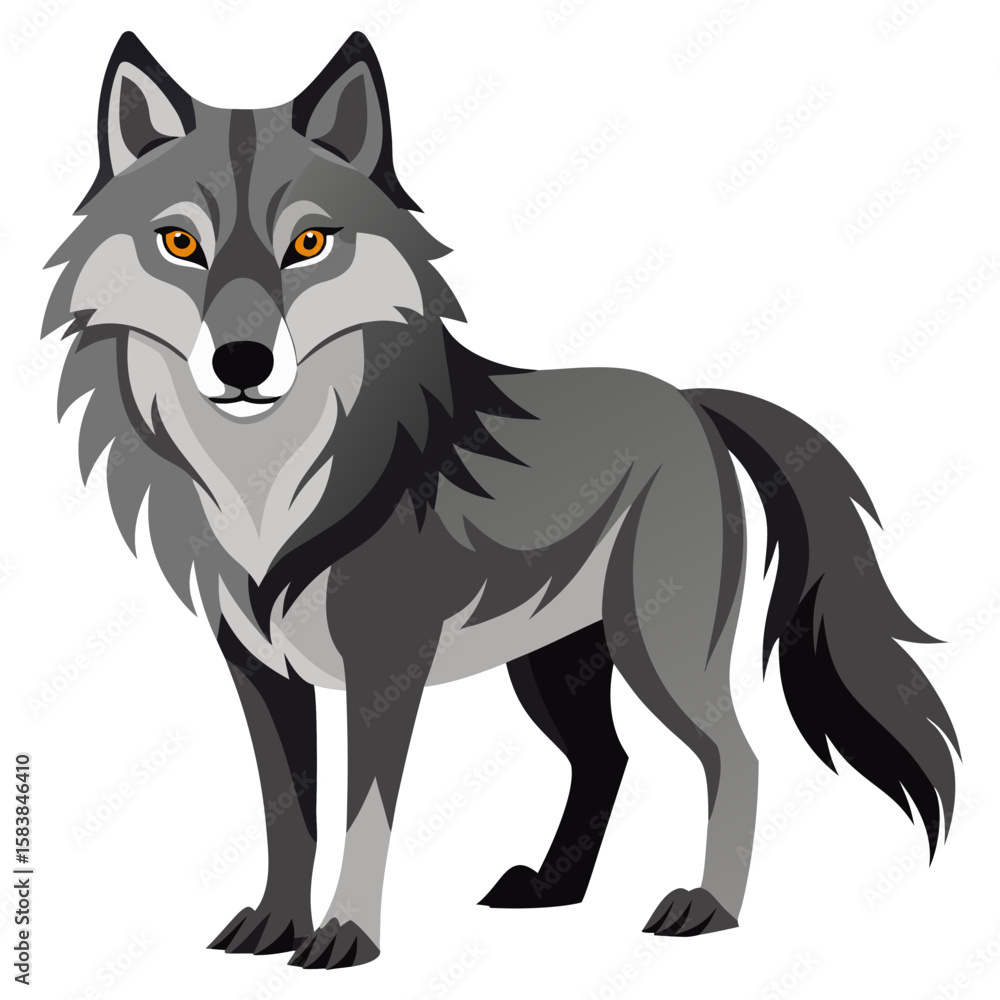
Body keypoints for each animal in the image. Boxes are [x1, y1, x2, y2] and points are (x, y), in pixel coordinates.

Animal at [43, 30, 959, 969]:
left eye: (309, 243)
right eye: (179, 244)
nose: (241, 363)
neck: (269, 483)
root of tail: (691, 399)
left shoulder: (385, 670)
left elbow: (364, 813)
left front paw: (345, 935)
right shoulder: (259, 672)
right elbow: (288, 814)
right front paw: (274, 927)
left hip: (655, 650)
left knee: (735, 757)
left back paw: (708, 908)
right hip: (555, 666)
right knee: (606, 760)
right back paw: (553, 893)